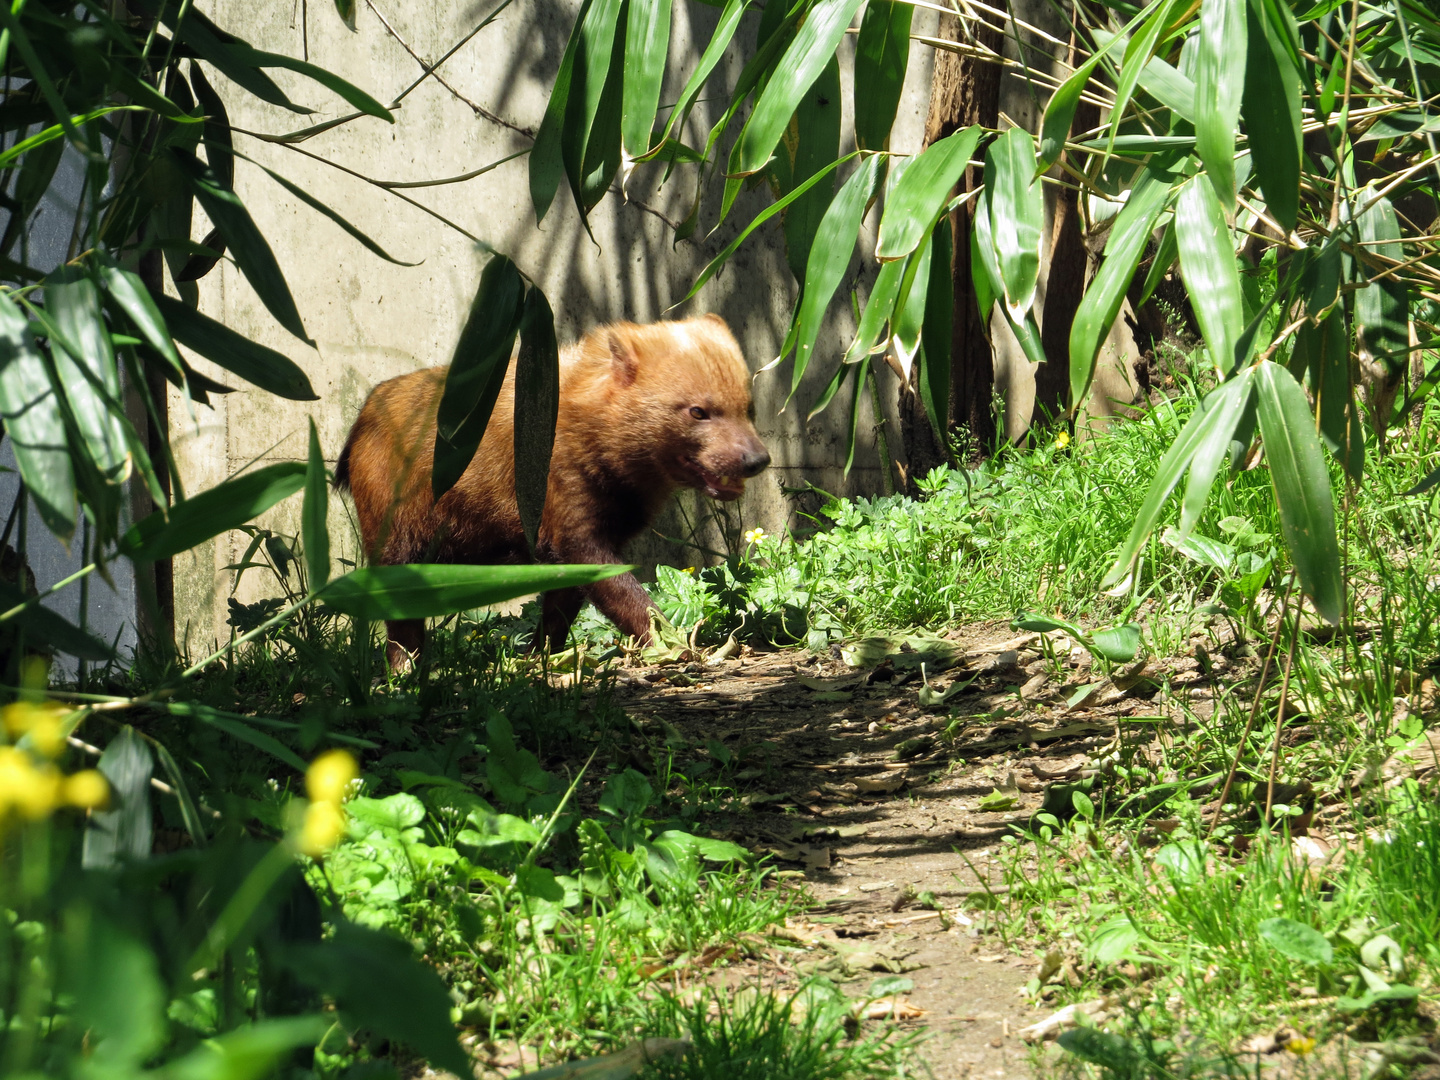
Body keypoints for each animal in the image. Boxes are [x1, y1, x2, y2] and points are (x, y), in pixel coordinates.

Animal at [336, 312, 771, 668]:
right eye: (698, 411)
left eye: (750, 407)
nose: (758, 460)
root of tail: (362, 419)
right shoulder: (573, 530)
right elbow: (633, 601)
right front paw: (680, 648)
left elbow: (558, 615)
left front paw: (540, 660)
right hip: (397, 542)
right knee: (401, 624)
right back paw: (402, 674)